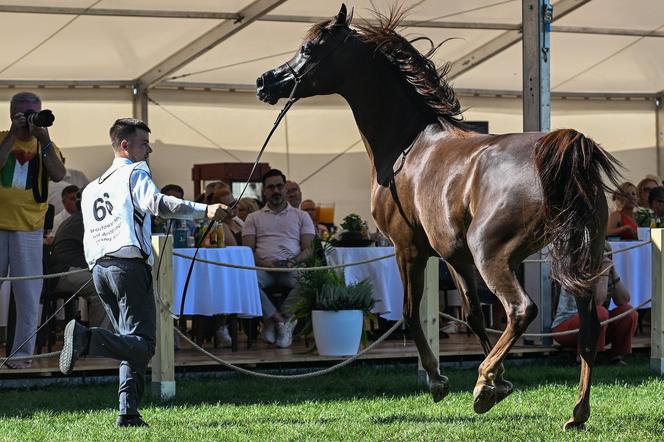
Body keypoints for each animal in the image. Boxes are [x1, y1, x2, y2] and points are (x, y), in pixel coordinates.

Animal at [256, 5, 620, 430]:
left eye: (310, 48)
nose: (265, 81)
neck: (407, 146)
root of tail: (563, 150)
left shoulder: (408, 250)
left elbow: (410, 313)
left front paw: (445, 381)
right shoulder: (454, 257)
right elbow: (475, 315)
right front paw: (502, 382)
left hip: (493, 255)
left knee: (521, 310)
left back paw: (482, 383)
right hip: (581, 257)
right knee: (588, 330)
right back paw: (576, 413)